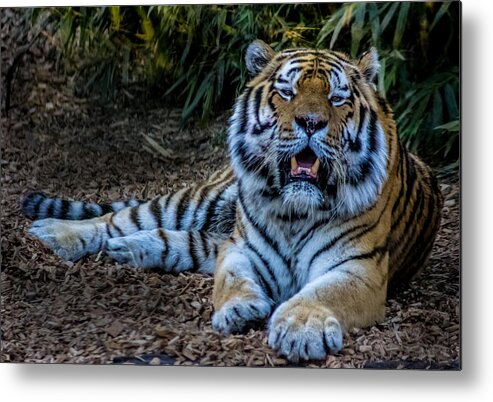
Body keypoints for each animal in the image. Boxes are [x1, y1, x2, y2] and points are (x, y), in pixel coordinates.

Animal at [21, 40, 442, 362]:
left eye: (337, 99)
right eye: (287, 92)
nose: (310, 122)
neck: (296, 213)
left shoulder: (360, 269)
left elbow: (323, 291)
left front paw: (300, 329)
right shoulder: (242, 248)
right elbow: (231, 279)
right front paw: (239, 309)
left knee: (180, 241)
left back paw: (127, 249)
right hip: (199, 201)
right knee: (121, 218)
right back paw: (56, 233)